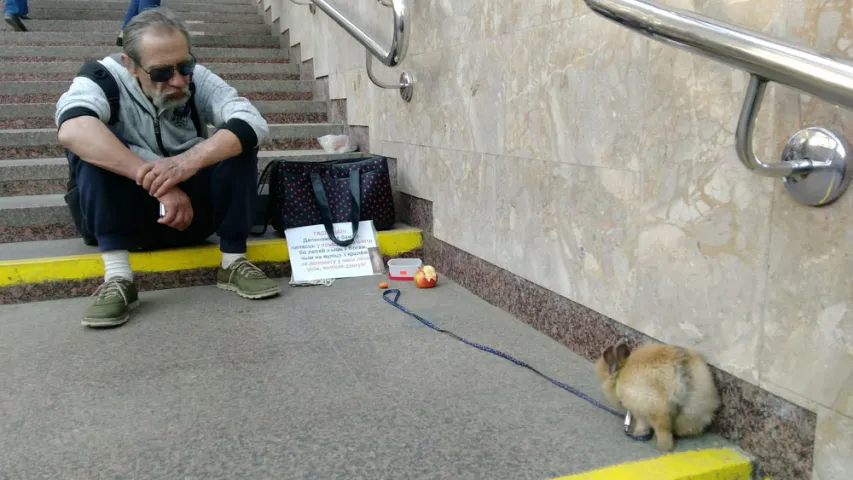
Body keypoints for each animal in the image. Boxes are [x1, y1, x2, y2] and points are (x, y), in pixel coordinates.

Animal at [596, 342, 724, 450]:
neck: (621, 375)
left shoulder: (639, 408)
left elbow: (642, 423)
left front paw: (638, 432)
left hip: (658, 410)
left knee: (664, 432)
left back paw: (661, 446)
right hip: (697, 407)